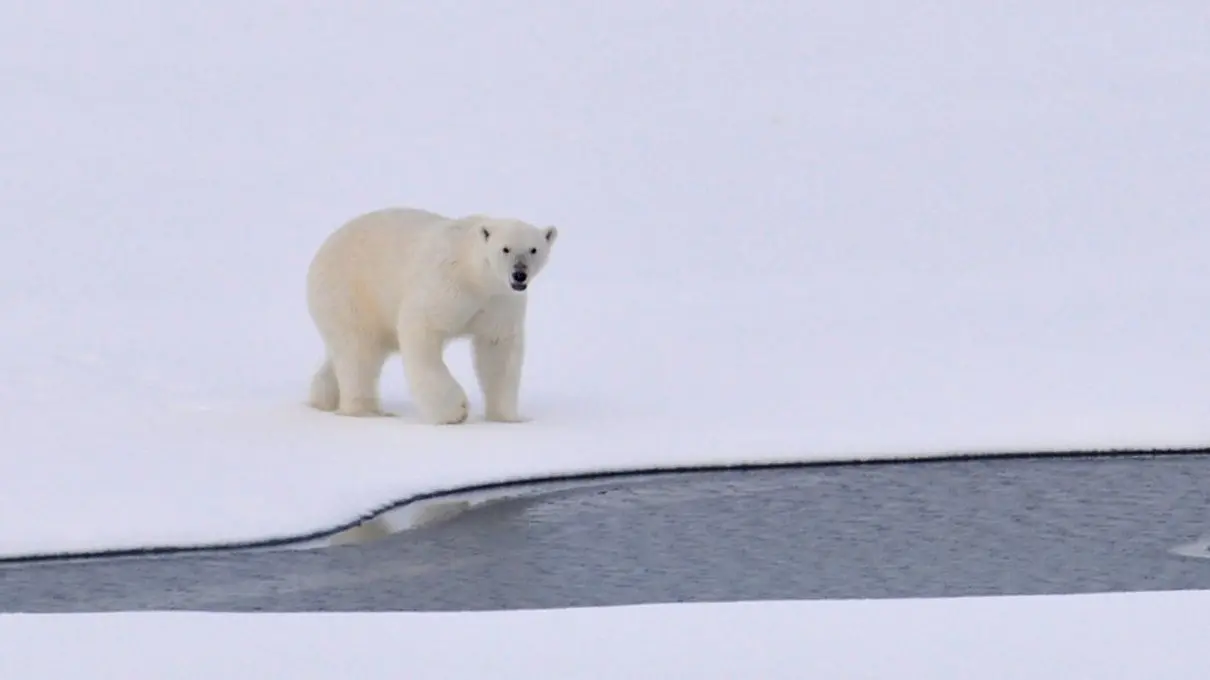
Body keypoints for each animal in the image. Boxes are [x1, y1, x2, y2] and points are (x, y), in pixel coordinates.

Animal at [307, 205, 561, 423]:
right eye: (505, 248)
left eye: (533, 249)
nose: (519, 274)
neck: (474, 276)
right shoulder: (446, 284)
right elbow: (422, 328)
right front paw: (455, 411)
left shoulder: (499, 300)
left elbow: (497, 347)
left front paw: (507, 417)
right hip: (350, 293)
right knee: (359, 350)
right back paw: (367, 411)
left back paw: (323, 397)